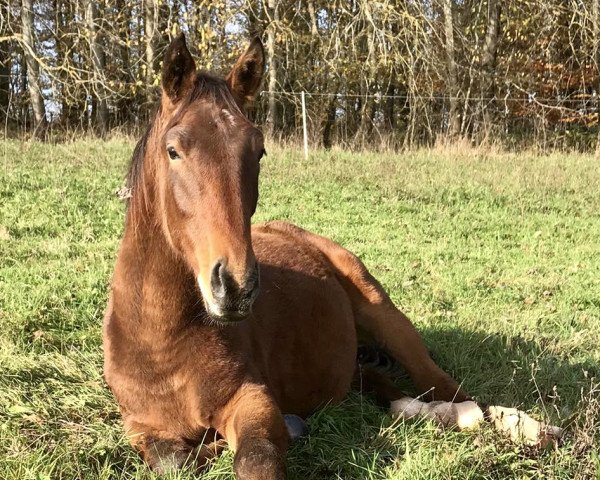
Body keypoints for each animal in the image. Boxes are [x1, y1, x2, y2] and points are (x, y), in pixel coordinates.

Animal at [102, 34, 556, 480]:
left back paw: (524, 426)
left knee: (450, 387)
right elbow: (173, 460)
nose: (235, 287)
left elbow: (256, 456)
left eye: (259, 151)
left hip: (385, 315)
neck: (162, 342)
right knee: (382, 386)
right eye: (173, 150)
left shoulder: (252, 399)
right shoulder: (142, 428)